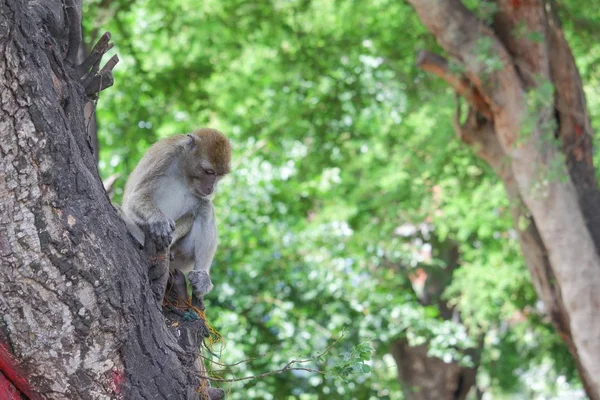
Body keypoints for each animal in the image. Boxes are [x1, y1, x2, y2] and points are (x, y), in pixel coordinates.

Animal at [122, 128, 232, 306]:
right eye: (209, 172)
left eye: (219, 175)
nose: (211, 187)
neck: (184, 170)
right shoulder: (165, 156)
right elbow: (136, 197)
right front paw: (159, 221)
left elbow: (202, 203)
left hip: (183, 256)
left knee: (204, 208)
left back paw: (201, 278)